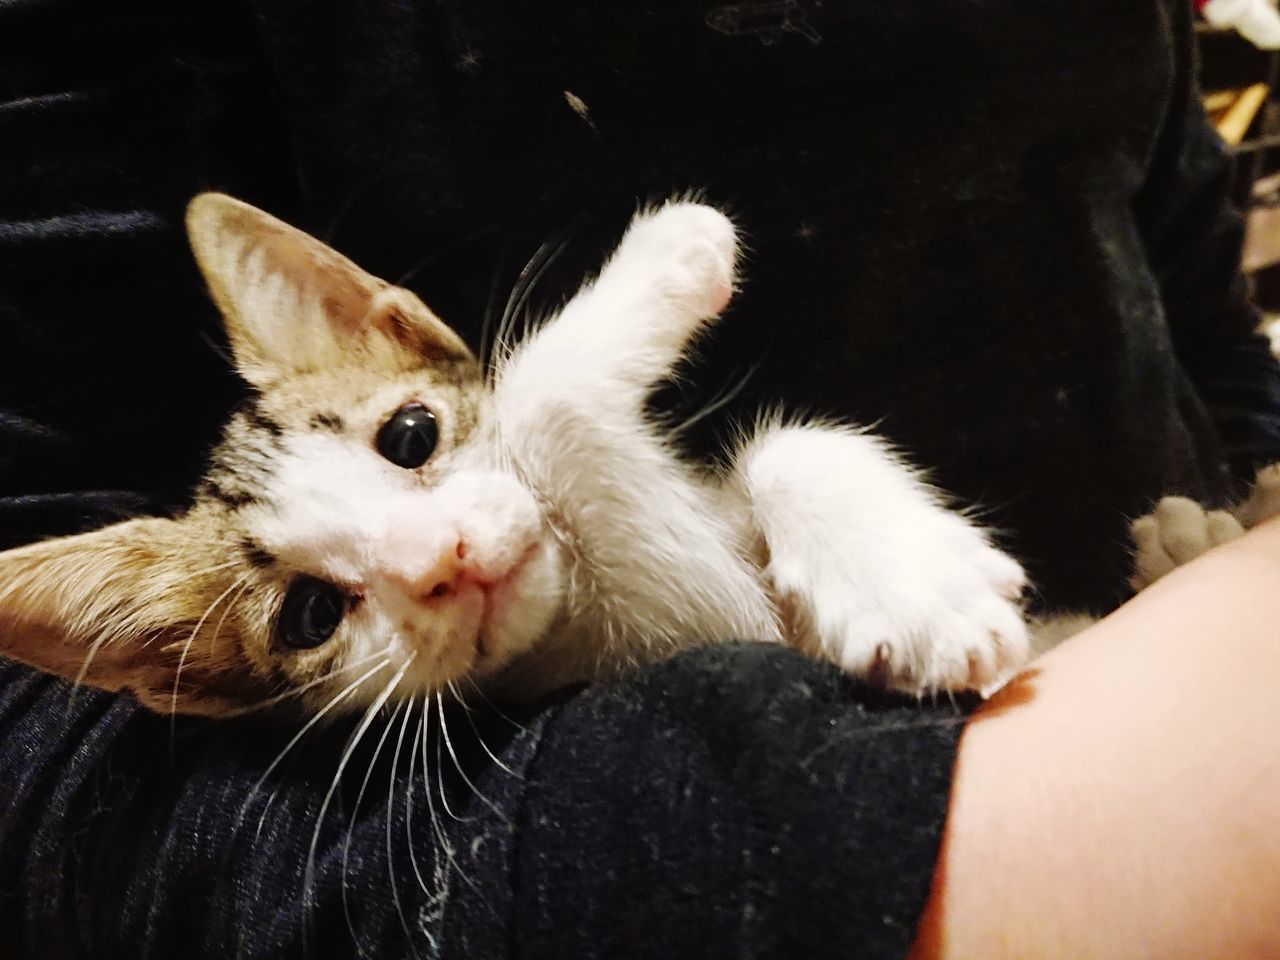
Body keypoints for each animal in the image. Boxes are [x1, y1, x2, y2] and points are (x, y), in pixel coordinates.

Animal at [0, 195, 1029, 716]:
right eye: (308, 615)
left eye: (410, 434)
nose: (441, 558)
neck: (587, 609)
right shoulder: (690, 607)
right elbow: (541, 388)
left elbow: (791, 447)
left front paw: (908, 580)